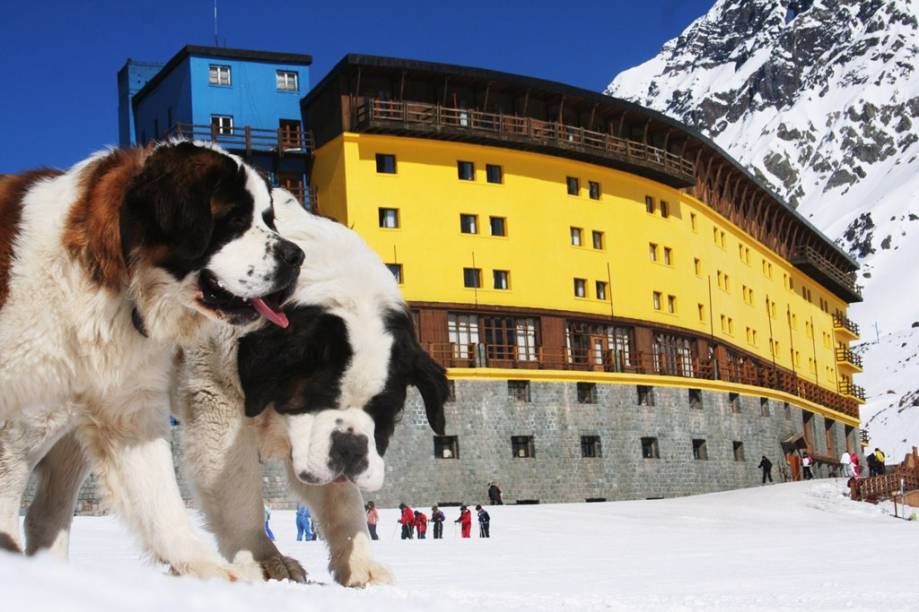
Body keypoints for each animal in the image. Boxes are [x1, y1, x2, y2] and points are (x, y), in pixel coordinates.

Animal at [1, 142, 308, 580]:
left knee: (46, 514)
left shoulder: (127, 409)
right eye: (233, 219)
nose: (297, 256)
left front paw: (215, 575)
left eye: (268, 219)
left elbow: (161, 502)